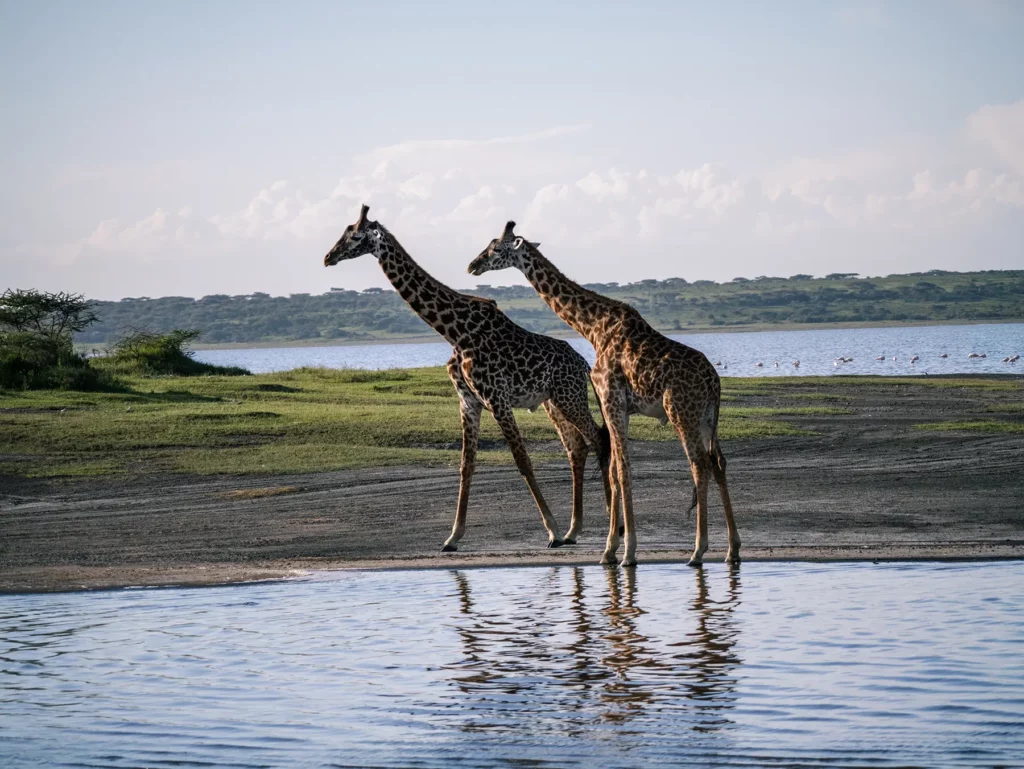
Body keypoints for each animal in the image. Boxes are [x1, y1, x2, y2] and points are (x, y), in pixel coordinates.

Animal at [324, 205, 611, 552]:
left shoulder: (497, 398)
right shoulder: (468, 401)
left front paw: (552, 531)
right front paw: (452, 537)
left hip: (569, 396)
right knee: (577, 447)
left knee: (598, 439)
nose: (327, 257)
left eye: (354, 235)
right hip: (552, 402)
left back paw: (608, 524)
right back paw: (575, 529)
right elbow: (466, 465)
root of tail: (583, 364)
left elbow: (522, 460)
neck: (454, 331)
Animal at [468, 221, 740, 568]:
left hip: (681, 412)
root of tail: (713, 380)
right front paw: (610, 549)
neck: (592, 327)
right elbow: (612, 469)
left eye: (494, 248)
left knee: (698, 464)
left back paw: (697, 550)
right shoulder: (618, 407)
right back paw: (732, 549)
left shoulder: (611, 399)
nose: (472, 265)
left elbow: (621, 469)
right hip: (707, 417)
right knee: (719, 462)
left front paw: (627, 552)